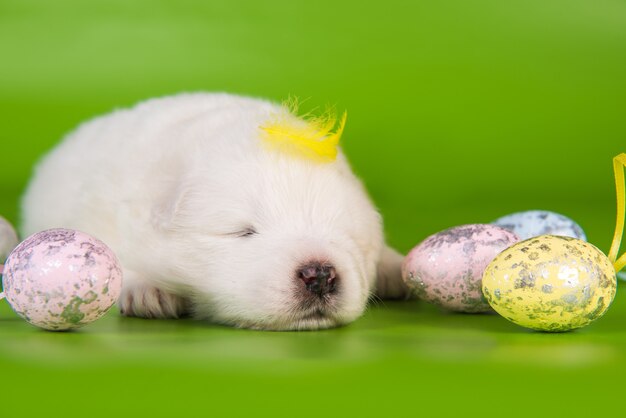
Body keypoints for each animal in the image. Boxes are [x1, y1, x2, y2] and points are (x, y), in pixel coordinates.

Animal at [20, 92, 404, 330]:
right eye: (243, 232)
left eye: (346, 236)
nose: (319, 275)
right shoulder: (103, 211)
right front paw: (148, 291)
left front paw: (393, 267)